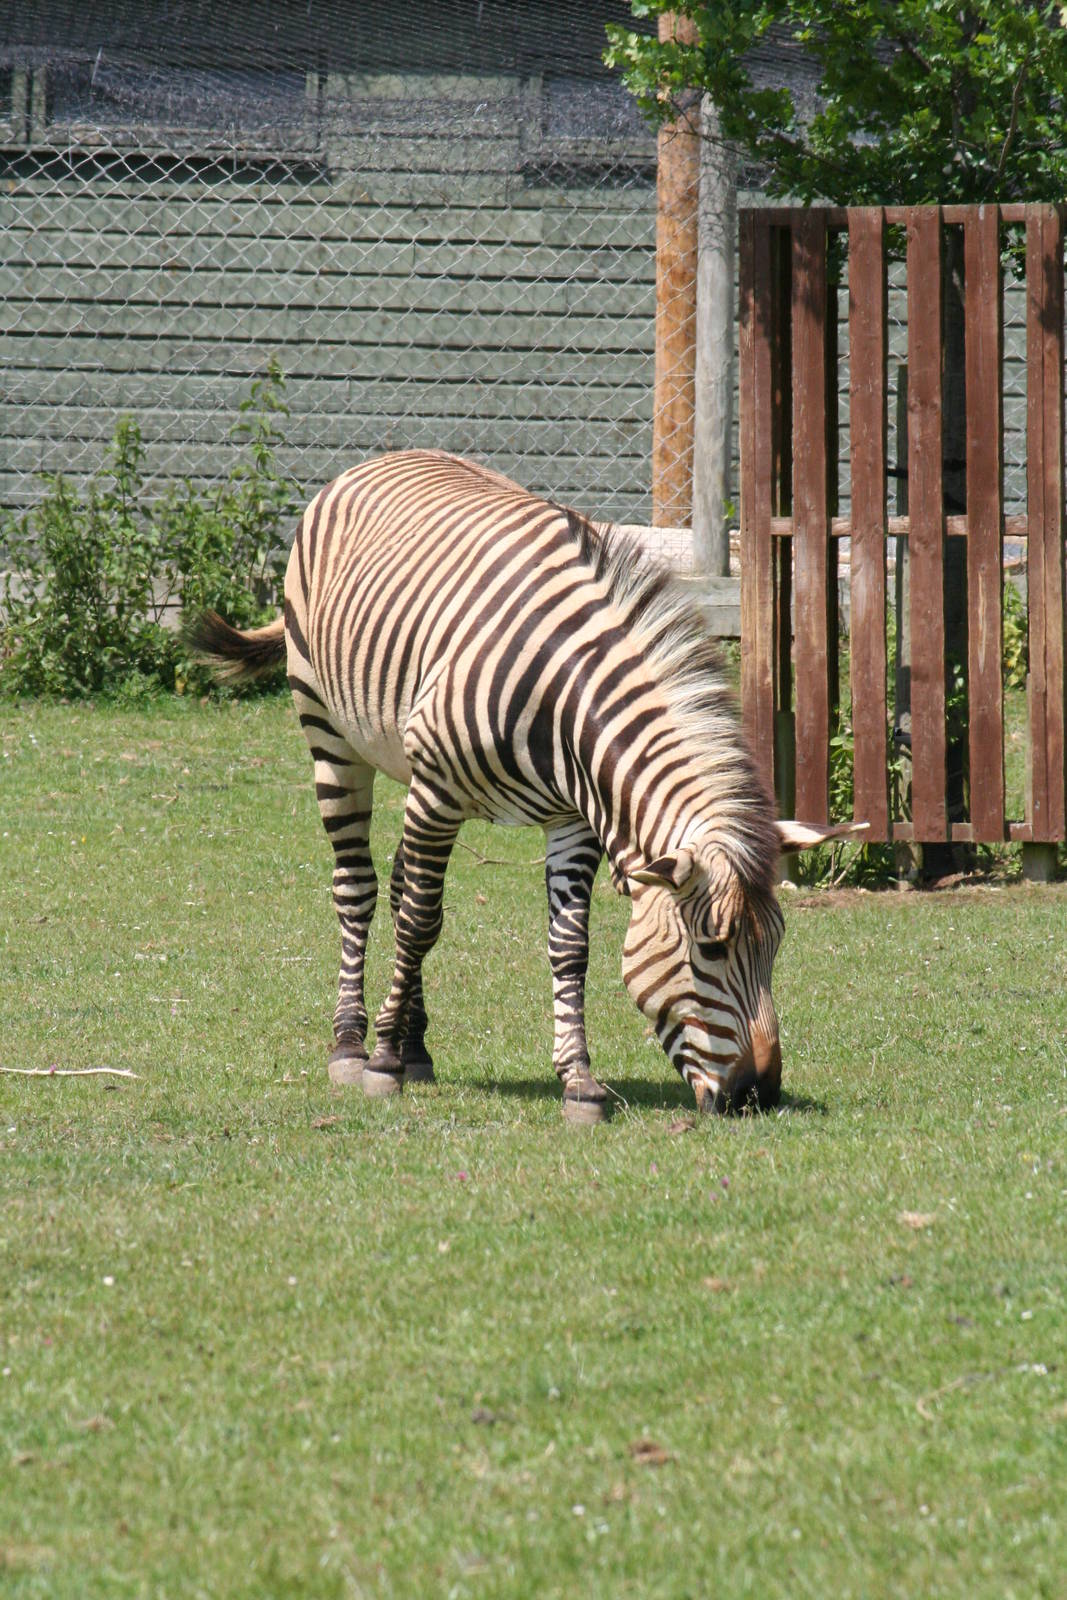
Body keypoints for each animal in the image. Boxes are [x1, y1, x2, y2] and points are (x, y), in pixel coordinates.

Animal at [192, 450, 855, 1122]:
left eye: (776, 946)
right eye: (712, 948)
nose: (759, 1095)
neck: (568, 701)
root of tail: (385, 458)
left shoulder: (572, 820)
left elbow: (570, 944)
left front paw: (578, 1080)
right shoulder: (438, 793)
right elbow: (420, 924)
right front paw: (381, 1063)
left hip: (405, 766)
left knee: (403, 883)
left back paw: (415, 1045)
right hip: (332, 735)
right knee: (360, 888)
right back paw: (352, 1043)